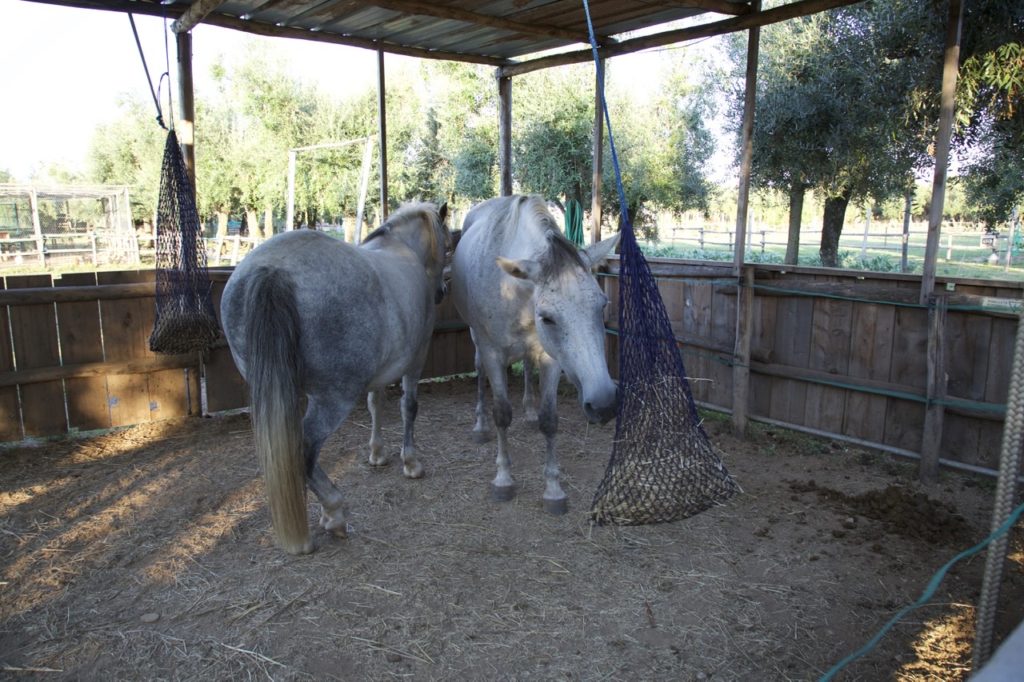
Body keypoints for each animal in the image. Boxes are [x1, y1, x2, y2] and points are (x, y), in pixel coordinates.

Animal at [222, 201, 450, 552]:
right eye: (449, 246)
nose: (441, 291)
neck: (399, 246)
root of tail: (273, 270)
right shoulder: (416, 359)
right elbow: (408, 408)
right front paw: (410, 462)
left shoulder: (380, 371)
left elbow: (375, 404)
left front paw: (377, 453)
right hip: (333, 399)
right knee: (304, 449)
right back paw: (334, 512)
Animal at [454, 193, 614, 512]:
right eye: (548, 318)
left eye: (602, 305)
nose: (604, 404)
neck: (511, 288)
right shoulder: (492, 353)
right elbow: (502, 413)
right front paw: (503, 479)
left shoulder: (552, 359)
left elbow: (549, 419)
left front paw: (553, 490)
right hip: (477, 340)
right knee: (479, 372)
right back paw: (480, 425)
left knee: (528, 366)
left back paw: (528, 411)